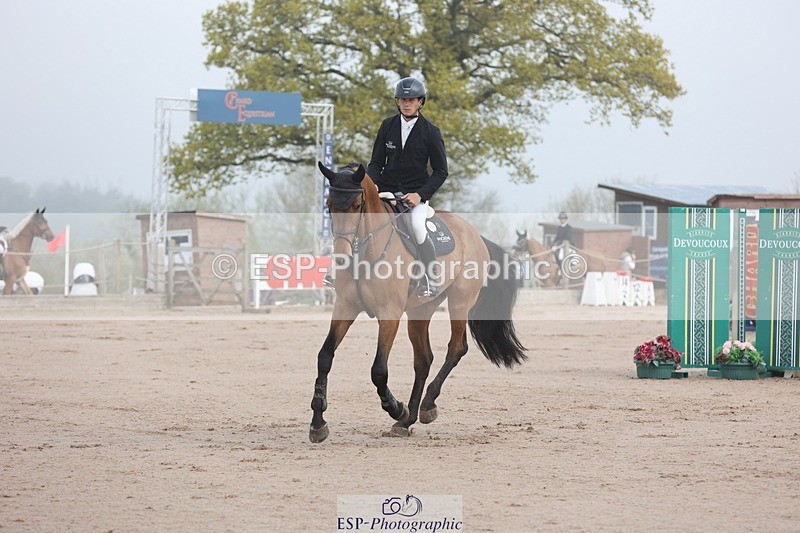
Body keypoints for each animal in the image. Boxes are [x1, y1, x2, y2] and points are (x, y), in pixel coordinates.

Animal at [310, 162, 527, 442]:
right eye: (329, 204)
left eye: (357, 205)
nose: (340, 257)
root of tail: (476, 235)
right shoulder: (345, 307)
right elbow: (325, 356)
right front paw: (317, 423)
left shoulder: (389, 313)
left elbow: (378, 370)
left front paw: (396, 408)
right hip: (420, 310)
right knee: (423, 359)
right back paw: (408, 420)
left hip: (460, 302)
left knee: (457, 348)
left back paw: (425, 407)